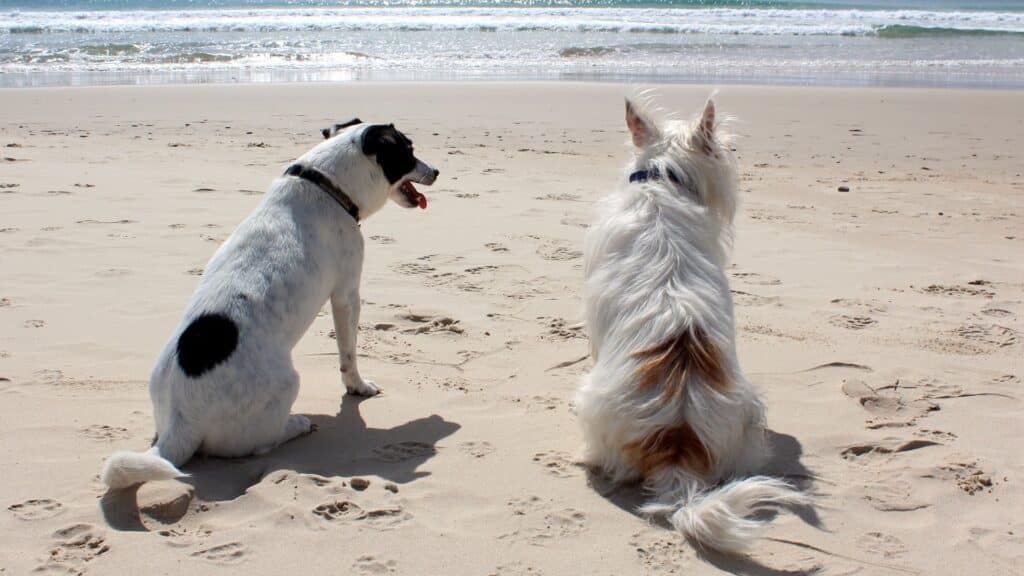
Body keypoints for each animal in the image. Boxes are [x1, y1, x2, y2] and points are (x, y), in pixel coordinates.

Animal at [101, 118, 438, 485]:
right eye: (408, 151)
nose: (436, 171)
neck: (326, 184)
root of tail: (180, 422)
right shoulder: (346, 295)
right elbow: (348, 355)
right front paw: (358, 387)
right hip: (287, 383)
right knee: (261, 444)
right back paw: (296, 424)